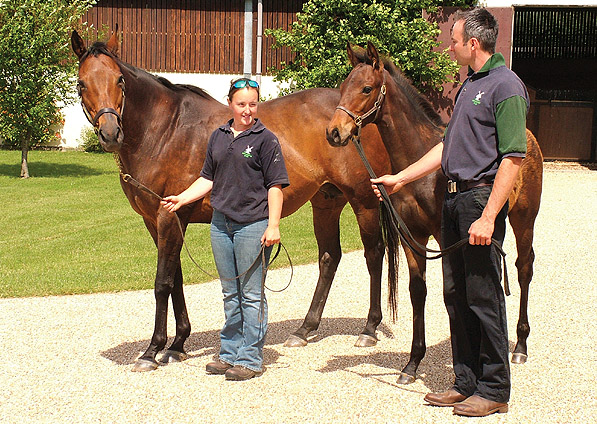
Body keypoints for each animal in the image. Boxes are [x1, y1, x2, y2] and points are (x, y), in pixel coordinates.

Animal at [72, 30, 398, 372]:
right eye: (81, 83)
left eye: (120, 80)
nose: (111, 133)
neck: (166, 131)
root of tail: (359, 121)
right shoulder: (158, 220)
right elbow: (176, 279)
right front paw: (177, 344)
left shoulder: (168, 216)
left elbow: (162, 283)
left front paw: (152, 350)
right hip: (326, 201)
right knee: (329, 257)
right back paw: (305, 329)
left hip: (363, 201)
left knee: (374, 254)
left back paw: (369, 329)